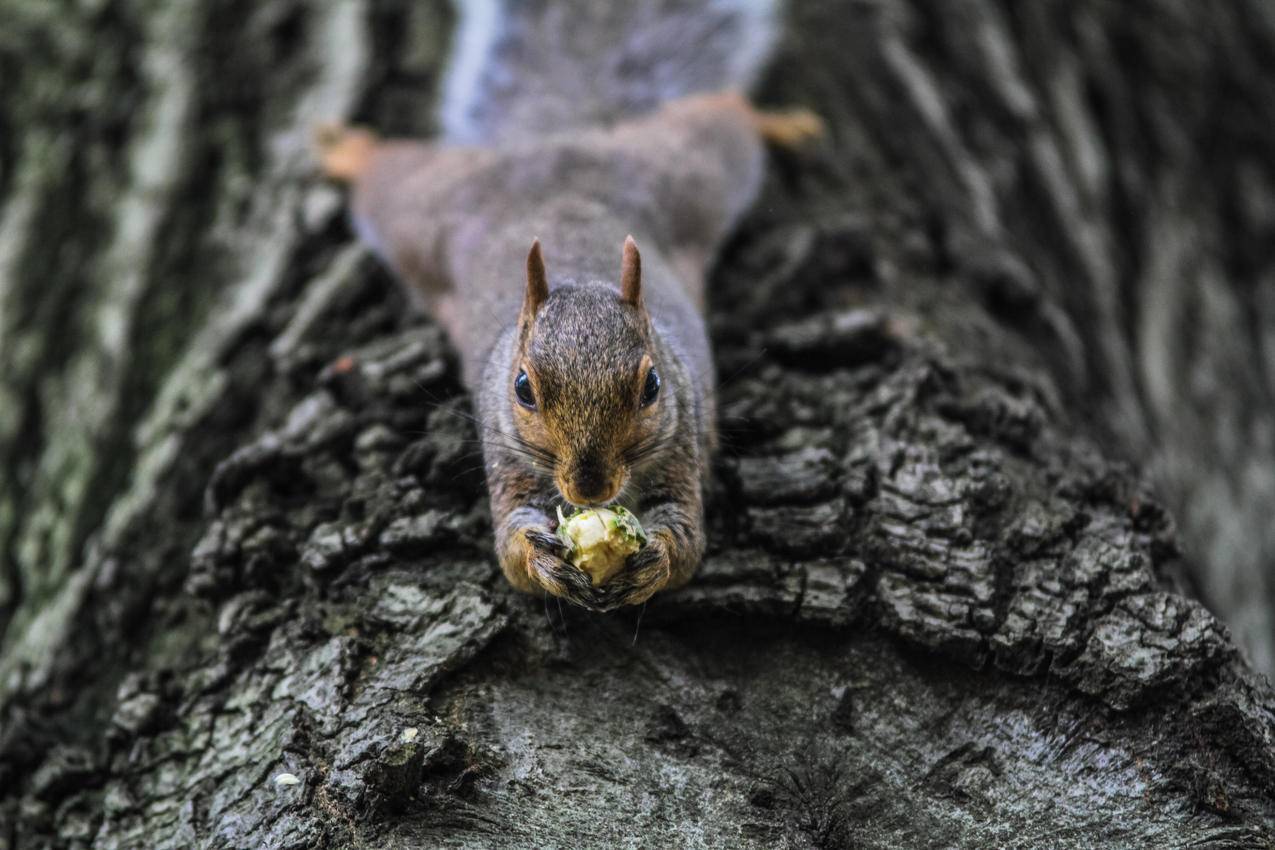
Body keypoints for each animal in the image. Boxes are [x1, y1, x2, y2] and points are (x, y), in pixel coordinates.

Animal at [318, 0, 816, 611]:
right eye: (522, 389)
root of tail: (557, 143)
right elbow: (511, 551)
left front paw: (654, 560)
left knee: (723, 116)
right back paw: (348, 149)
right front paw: (542, 560)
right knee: (386, 176)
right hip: (424, 212)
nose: (590, 488)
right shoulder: (508, 458)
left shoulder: (681, 443)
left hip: (689, 173)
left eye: (652, 386)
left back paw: (780, 122)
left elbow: (687, 542)